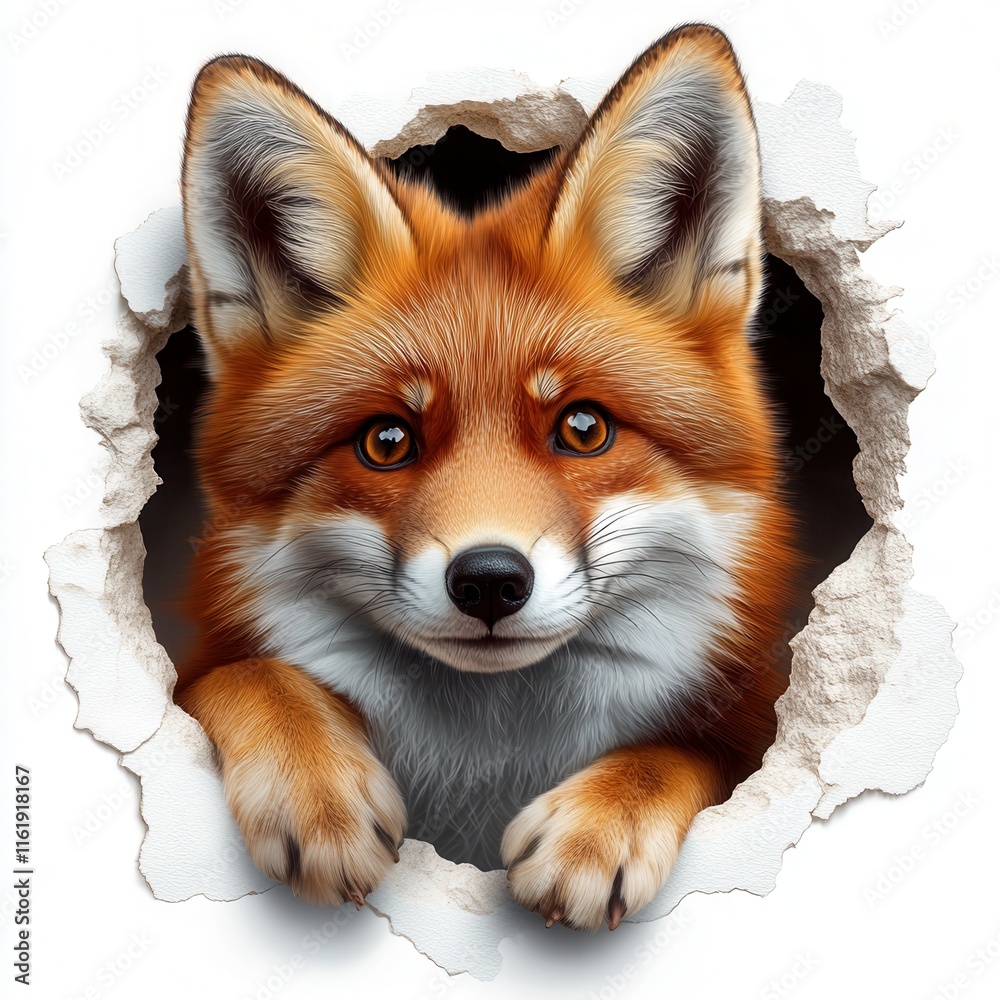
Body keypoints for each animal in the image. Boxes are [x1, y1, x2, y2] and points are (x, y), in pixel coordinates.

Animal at [172, 23, 802, 932]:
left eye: (583, 428)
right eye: (387, 441)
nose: (491, 580)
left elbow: (680, 755)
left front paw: (601, 823)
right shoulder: (203, 668)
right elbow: (249, 676)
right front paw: (314, 786)